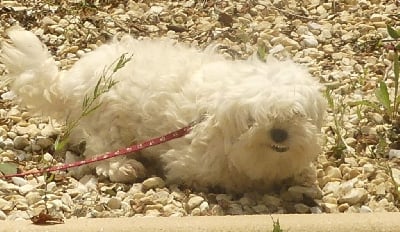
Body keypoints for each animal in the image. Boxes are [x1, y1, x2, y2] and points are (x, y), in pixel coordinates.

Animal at [1, 27, 326, 192]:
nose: (279, 133)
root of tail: (68, 82)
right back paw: (124, 167)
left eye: (296, 114)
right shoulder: (189, 163)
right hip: (108, 128)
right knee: (100, 155)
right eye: (253, 119)